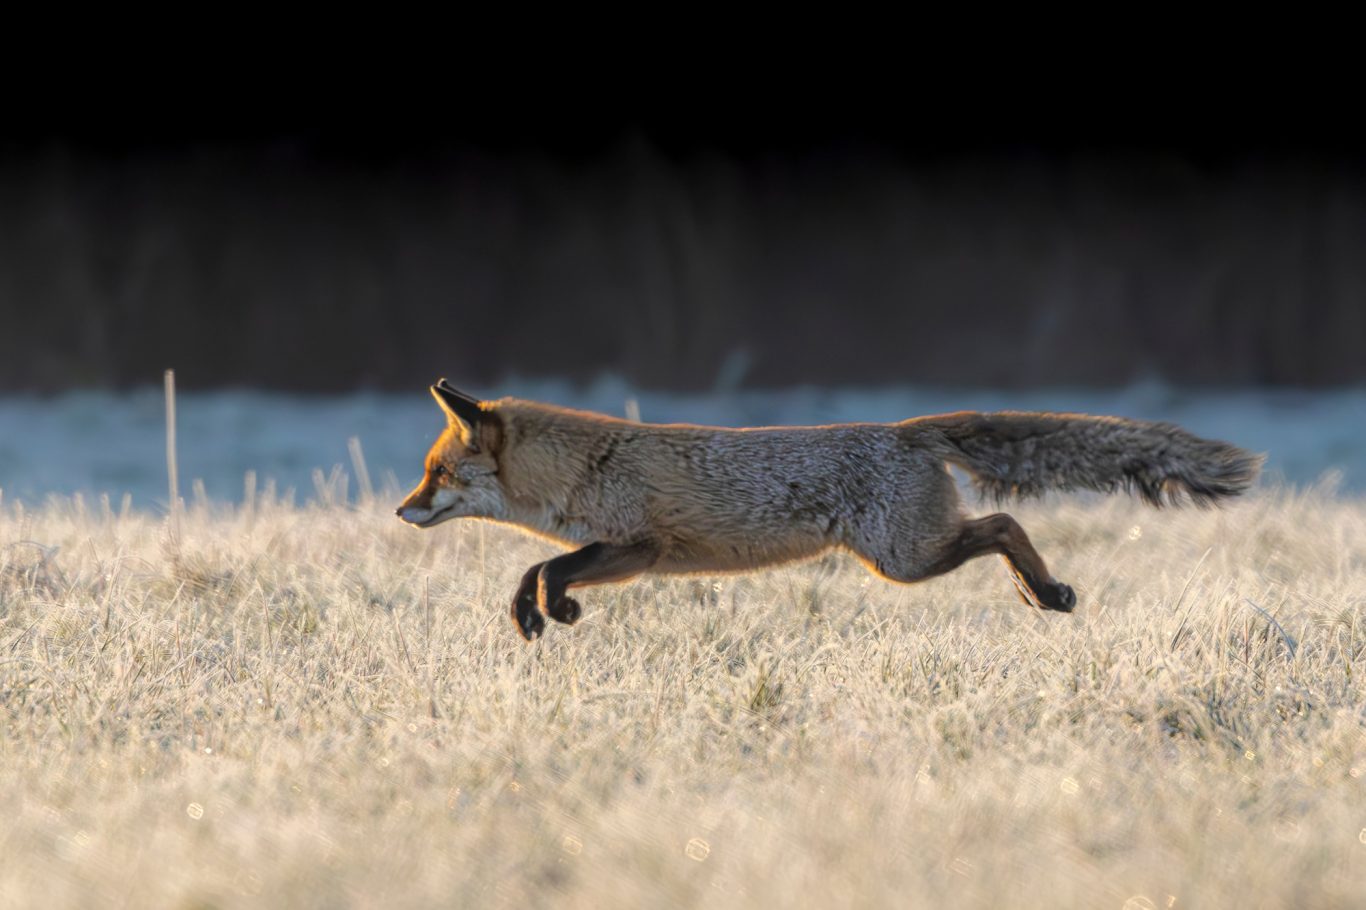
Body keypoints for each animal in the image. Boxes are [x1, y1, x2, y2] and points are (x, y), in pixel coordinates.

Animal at [393, 379, 1256, 642]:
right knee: (1001, 527)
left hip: (904, 560)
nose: (401, 511)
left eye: (436, 474)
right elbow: (534, 566)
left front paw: (555, 609)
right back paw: (1040, 592)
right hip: (907, 556)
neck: (586, 470)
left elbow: (550, 564)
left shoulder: (640, 549)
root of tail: (903, 427)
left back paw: (1046, 592)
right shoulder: (629, 552)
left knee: (1004, 526)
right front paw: (531, 614)